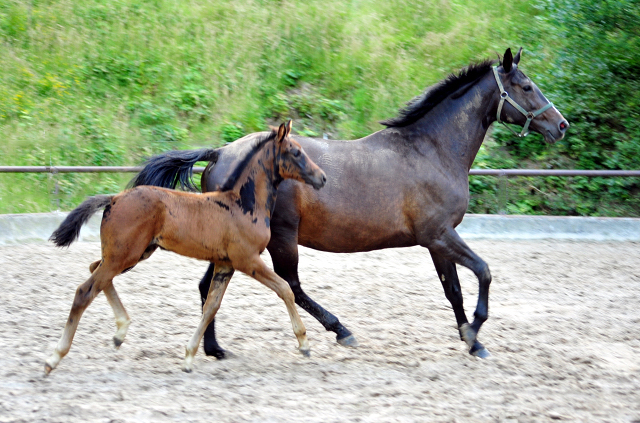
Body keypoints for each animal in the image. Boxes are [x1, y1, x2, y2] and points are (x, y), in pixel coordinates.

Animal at [44, 121, 324, 374]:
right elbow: (285, 289)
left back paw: (120, 332)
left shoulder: (225, 264)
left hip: (131, 254)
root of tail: (114, 199)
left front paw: (189, 357)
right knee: (85, 290)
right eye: (296, 152)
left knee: (96, 270)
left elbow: (211, 306)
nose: (321, 177)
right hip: (124, 255)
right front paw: (304, 343)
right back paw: (54, 358)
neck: (242, 204)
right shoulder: (248, 260)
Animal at [131, 48, 568, 360]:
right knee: (290, 286)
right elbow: (483, 272)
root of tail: (220, 153)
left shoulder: (436, 241)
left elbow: (454, 291)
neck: (432, 150)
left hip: (230, 243)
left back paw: (214, 349)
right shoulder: (440, 234)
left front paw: (471, 341)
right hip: (278, 239)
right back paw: (341, 330)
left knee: (210, 286)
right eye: (526, 86)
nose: (561, 125)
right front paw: (476, 332)